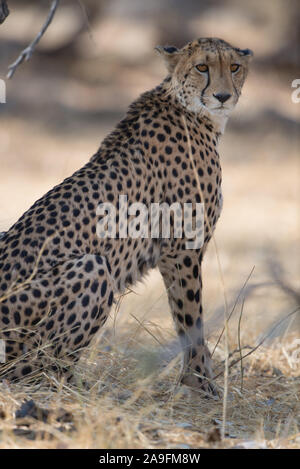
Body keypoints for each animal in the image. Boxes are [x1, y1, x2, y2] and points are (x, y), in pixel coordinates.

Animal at [0, 38, 252, 394]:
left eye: (234, 67)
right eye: (202, 67)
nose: (223, 96)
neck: (190, 108)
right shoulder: (182, 249)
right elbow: (190, 317)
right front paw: (200, 382)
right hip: (91, 267)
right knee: (29, 372)